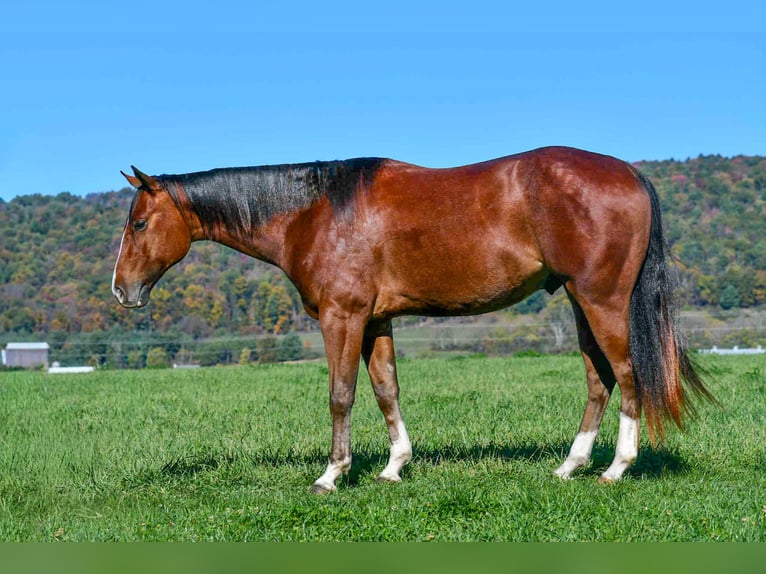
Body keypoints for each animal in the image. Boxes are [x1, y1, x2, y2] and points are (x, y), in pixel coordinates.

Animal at [112, 146, 714, 493]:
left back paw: (616, 468)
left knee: (629, 375)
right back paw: (571, 466)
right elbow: (386, 391)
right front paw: (394, 466)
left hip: (601, 300)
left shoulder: (343, 317)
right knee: (599, 379)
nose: (122, 291)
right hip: (577, 299)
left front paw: (332, 475)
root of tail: (629, 174)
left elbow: (341, 395)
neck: (315, 212)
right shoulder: (376, 321)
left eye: (139, 224)